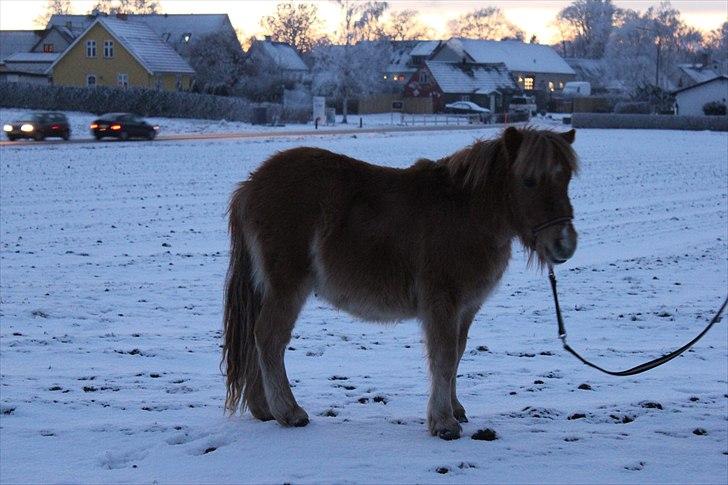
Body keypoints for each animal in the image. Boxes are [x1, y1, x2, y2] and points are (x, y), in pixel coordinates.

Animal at [225, 125, 576, 438]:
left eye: (566, 179)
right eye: (529, 180)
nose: (564, 244)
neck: (466, 212)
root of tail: (250, 186)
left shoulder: (465, 308)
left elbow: (457, 353)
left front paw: (455, 409)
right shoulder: (442, 302)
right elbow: (444, 356)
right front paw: (443, 423)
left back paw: (264, 409)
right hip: (288, 286)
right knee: (269, 337)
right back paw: (289, 412)